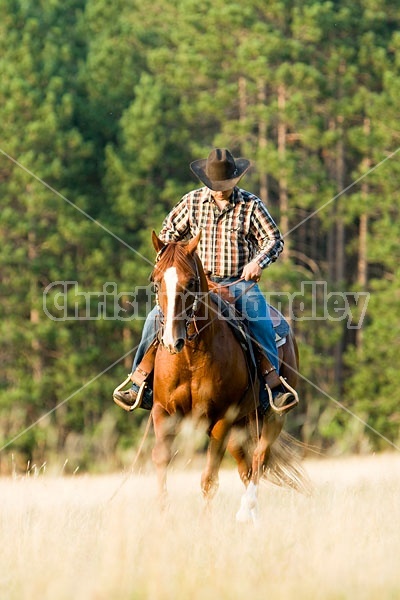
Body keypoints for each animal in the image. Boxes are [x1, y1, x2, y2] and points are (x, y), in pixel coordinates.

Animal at [150, 230, 300, 516]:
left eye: (191, 282)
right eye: (155, 282)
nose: (171, 340)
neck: (190, 356)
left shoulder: (221, 419)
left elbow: (209, 481)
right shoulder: (163, 413)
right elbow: (161, 468)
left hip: (272, 417)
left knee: (259, 459)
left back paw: (246, 509)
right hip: (241, 426)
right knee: (246, 468)